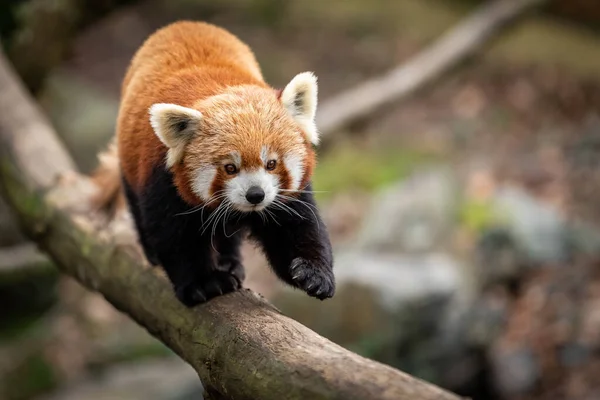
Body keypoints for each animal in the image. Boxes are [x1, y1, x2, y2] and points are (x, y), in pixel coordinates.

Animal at [108, 20, 336, 304]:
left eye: (271, 163)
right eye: (230, 168)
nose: (255, 195)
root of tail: (183, 23)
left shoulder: (286, 195)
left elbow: (297, 226)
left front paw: (314, 273)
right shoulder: (162, 178)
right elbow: (175, 235)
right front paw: (204, 282)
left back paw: (229, 260)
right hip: (128, 160)